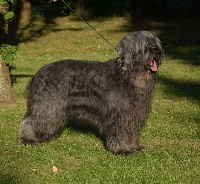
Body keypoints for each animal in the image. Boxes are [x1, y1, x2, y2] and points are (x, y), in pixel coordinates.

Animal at [18, 30, 163, 155]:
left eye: (155, 42)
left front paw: (133, 147)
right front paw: (122, 149)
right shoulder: (119, 115)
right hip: (48, 106)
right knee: (31, 121)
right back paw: (27, 139)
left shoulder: (132, 115)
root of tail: (37, 74)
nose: (158, 52)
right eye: (146, 44)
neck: (129, 75)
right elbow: (120, 133)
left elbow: (130, 133)